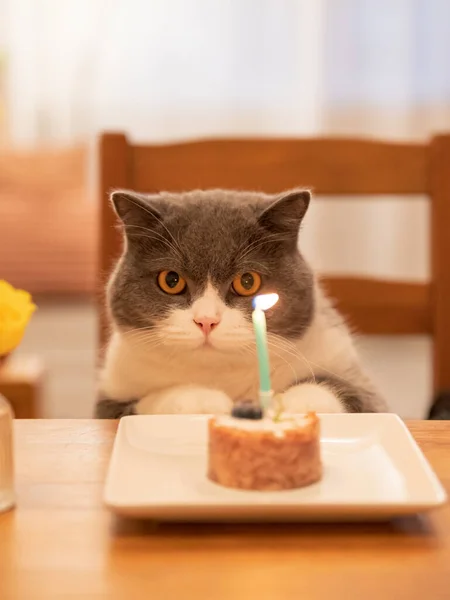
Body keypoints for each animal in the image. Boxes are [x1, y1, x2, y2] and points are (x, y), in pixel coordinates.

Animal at [96, 188, 384, 418]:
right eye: (171, 280)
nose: (207, 321)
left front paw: (295, 404)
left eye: (247, 281)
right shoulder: (110, 396)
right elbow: (144, 402)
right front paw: (202, 401)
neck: (225, 375)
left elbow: (344, 392)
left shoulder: (351, 372)